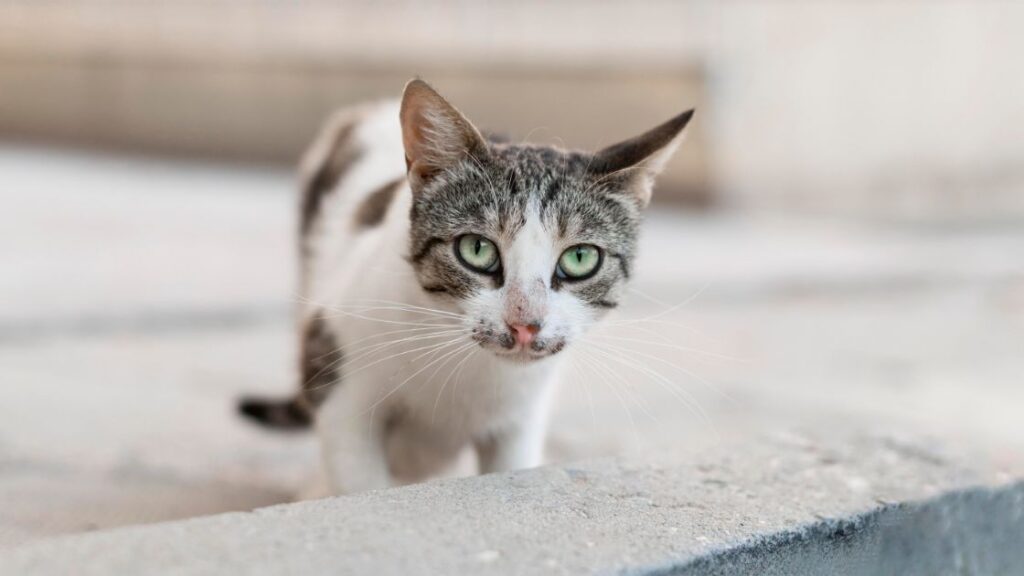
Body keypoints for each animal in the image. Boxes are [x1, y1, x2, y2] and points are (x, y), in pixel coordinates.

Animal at [237, 78, 696, 496]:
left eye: (580, 258)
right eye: (477, 249)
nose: (525, 323)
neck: (468, 367)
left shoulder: (520, 420)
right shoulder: (339, 381)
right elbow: (357, 480)